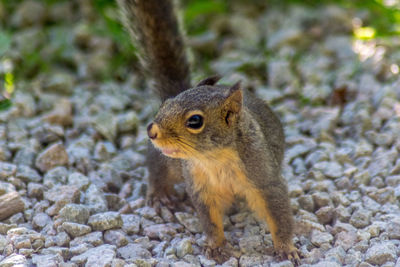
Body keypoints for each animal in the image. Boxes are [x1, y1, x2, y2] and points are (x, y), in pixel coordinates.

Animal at [117, 0, 298, 264]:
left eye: (195, 121)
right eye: (165, 104)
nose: (151, 130)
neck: (214, 158)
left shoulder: (265, 179)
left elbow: (279, 215)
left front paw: (286, 248)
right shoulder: (201, 188)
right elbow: (210, 221)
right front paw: (216, 247)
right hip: (170, 164)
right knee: (155, 165)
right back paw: (160, 194)